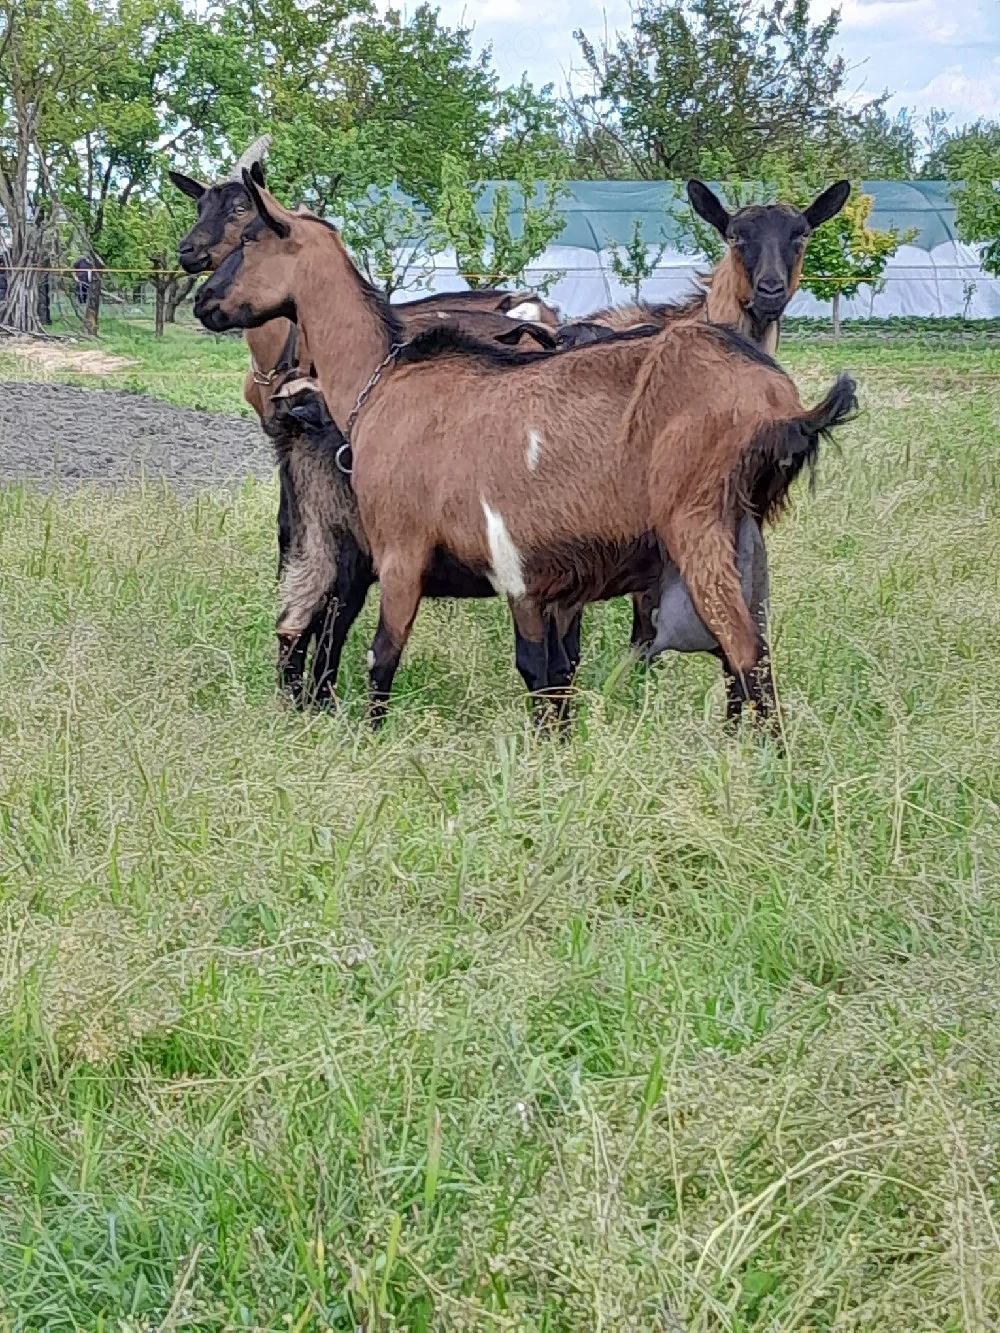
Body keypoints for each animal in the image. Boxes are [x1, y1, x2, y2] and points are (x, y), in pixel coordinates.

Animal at [195, 178, 857, 727]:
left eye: (249, 236)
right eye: (737, 236)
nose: (204, 301)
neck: (379, 377)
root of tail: (780, 403)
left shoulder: (403, 548)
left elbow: (384, 657)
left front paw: (371, 739)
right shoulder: (532, 580)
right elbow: (547, 676)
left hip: (696, 527)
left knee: (746, 655)